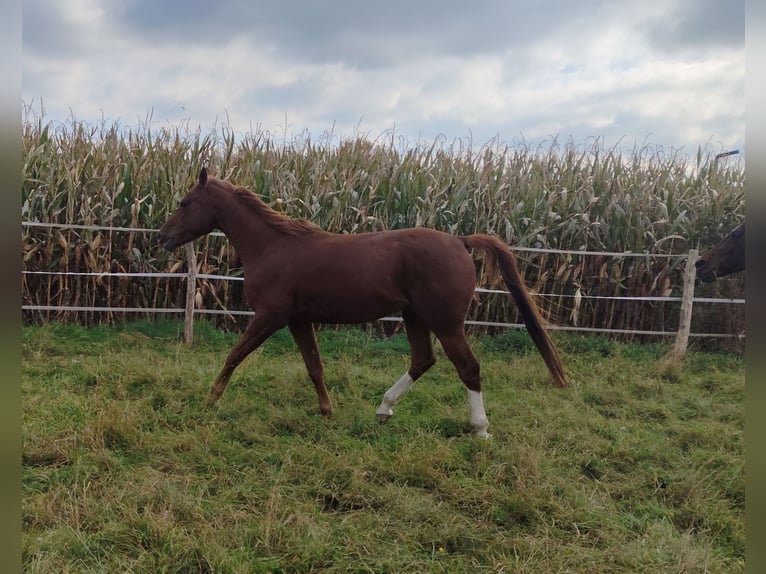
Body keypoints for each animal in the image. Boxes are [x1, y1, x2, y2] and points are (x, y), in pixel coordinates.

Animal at [159, 168, 567, 437]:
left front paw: (210, 400)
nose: (163, 237)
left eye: (185, 202)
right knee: (423, 360)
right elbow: (314, 367)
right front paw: (327, 411)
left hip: (446, 323)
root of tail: (460, 241)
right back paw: (383, 409)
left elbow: (234, 355)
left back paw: (480, 429)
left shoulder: (270, 317)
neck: (273, 247)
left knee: (468, 367)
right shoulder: (297, 320)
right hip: (414, 316)